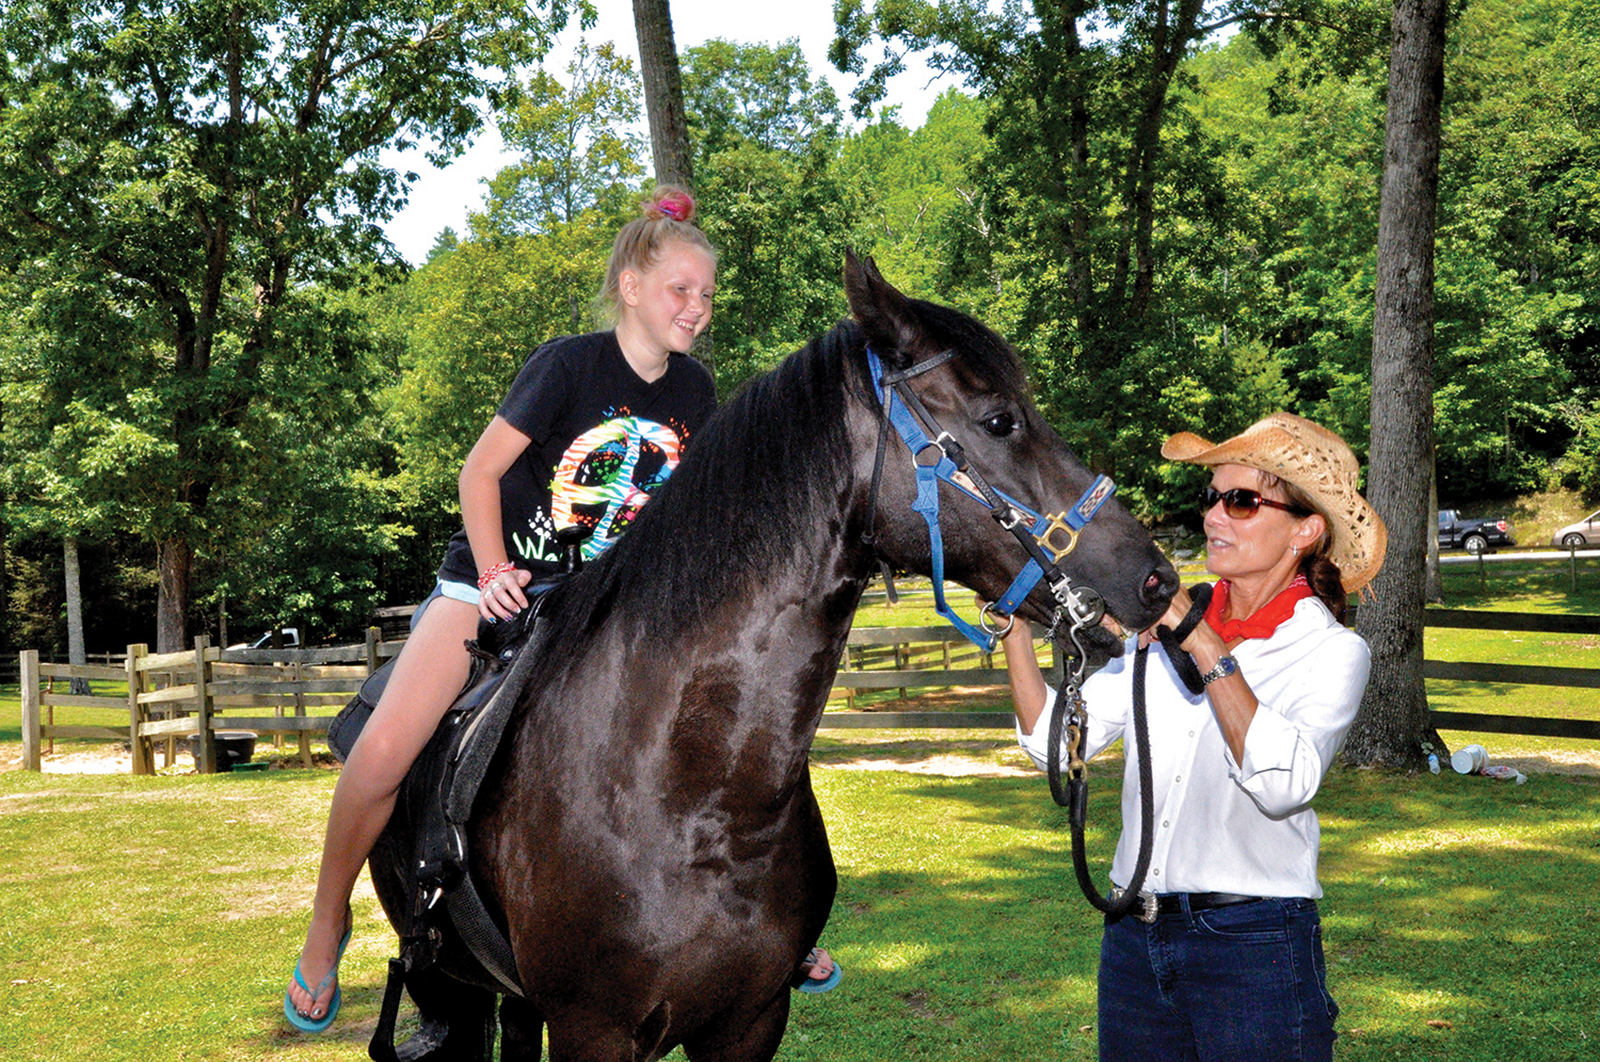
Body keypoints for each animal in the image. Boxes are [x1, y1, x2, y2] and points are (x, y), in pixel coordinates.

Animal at [368, 257, 1184, 1062]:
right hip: (451, 988)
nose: (1156, 579)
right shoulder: (592, 1032)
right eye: (999, 420)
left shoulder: (751, 1021)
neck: (692, 798)